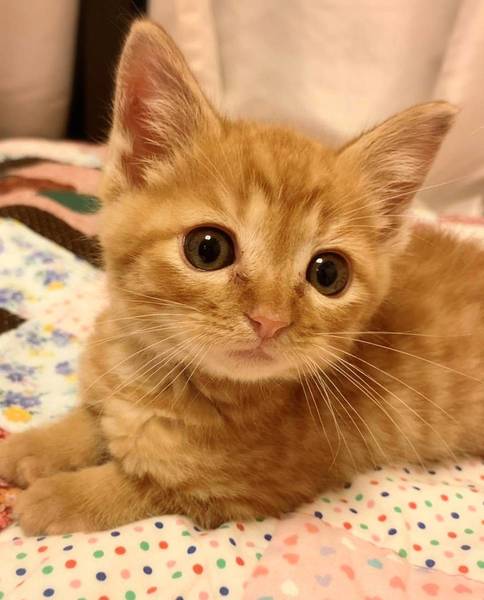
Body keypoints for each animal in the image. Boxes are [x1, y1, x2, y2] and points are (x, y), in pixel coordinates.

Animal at [0, 19, 483, 536]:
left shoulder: (246, 492)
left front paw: (58, 496)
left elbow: (140, 485)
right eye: (207, 248)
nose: (269, 320)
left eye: (329, 274)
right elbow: (91, 420)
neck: (150, 378)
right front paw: (31, 446)